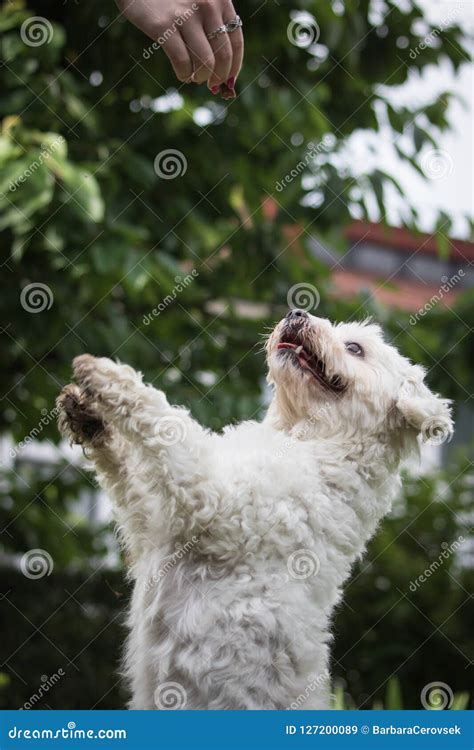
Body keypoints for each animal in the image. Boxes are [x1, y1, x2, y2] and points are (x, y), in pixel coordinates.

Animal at [56, 310, 452, 712]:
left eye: (355, 348)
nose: (296, 312)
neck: (314, 443)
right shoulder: (154, 521)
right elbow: (128, 471)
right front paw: (88, 417)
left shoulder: (211, 494)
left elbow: (167, 421)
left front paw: (106, 374)